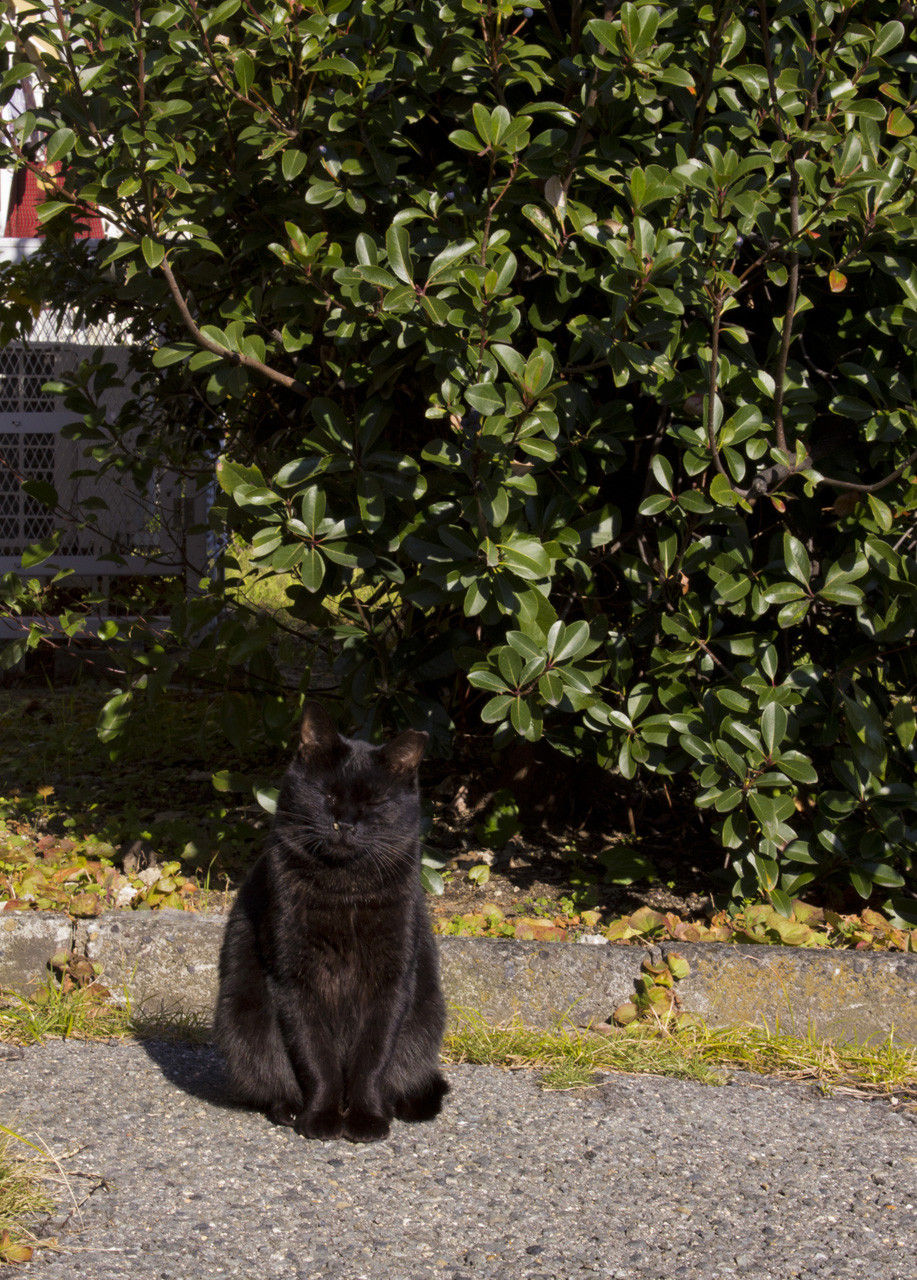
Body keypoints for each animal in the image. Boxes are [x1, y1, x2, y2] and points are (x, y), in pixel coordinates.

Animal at [214, 702, 449, 1142]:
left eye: (374, 803)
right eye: (327, 795)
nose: (345, 824)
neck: (345, 891)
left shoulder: (392, 979)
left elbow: (372, 1059)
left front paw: (366, 1119)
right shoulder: (294, 978)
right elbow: (315, 1057)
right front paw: (321, 1118)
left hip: (425, 1025)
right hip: (241, 1025)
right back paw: (290, 1109)